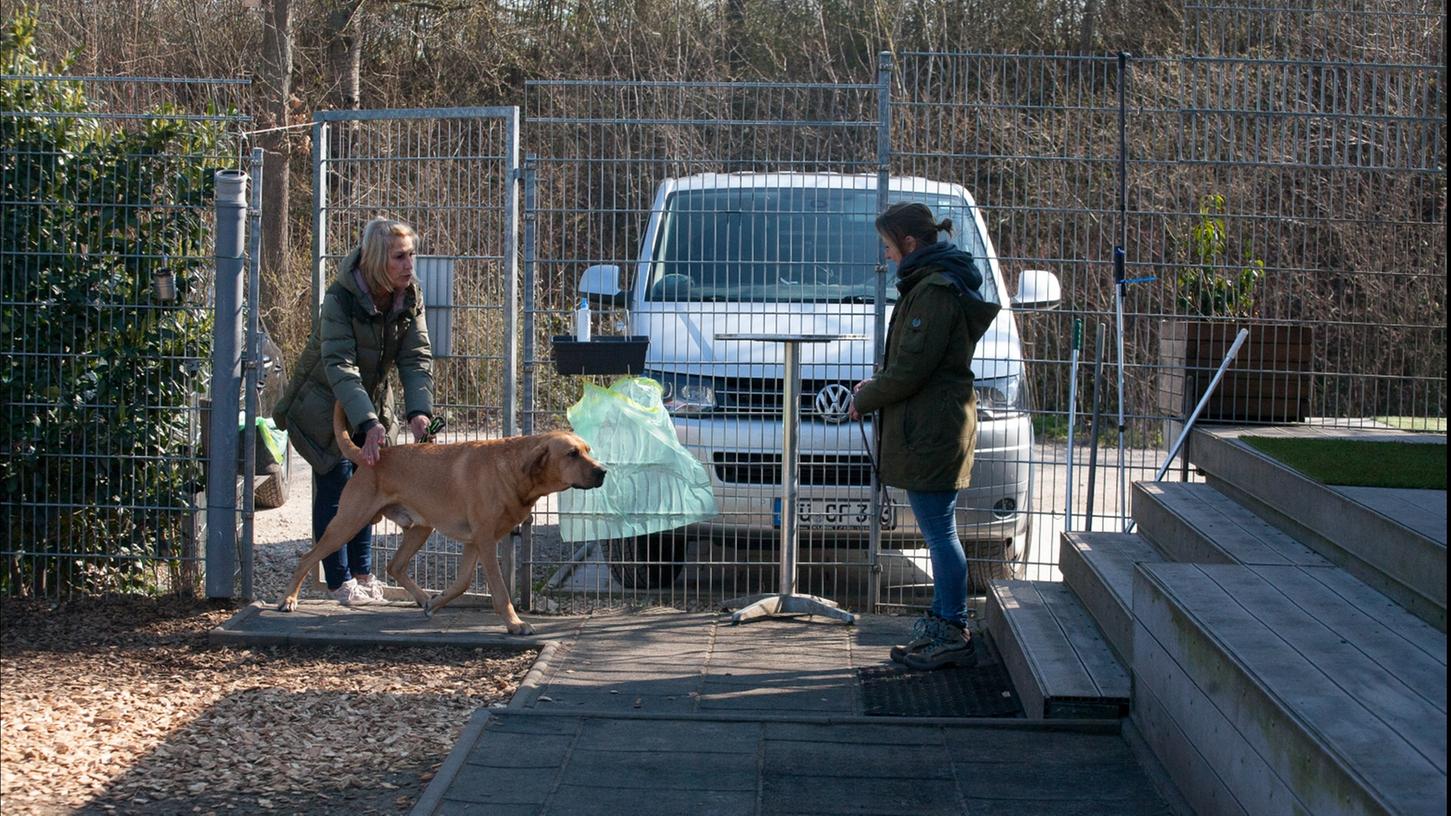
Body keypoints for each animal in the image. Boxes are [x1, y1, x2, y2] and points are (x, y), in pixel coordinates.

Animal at [274, 403, 603, 633]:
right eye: (572, 454)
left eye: (588, 450)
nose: (603, 471)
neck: (512, 469)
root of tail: (373, 458)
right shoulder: (485, 541)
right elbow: (499, 589)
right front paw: (514, 624)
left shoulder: (474, 543)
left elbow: (462, 583)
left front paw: (435, 602)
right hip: (348, 524)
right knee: (307, 558)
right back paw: (288, 600)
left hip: (420, 529)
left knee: (394, 565)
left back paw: (422, 598)